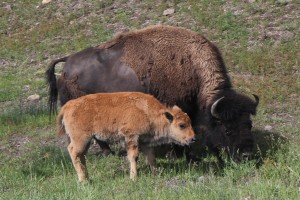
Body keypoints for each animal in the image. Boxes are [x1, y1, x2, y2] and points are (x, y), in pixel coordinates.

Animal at [46, 25, 258, 162]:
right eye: (227, 129)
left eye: (249, 124)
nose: (247, 155)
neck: (193, 69)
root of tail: (67, 62)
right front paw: (186, 156)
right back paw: (107, 154)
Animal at [57, 91, 196, 182]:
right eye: (182, 125)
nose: (193, 138)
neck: (147, 111)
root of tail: (68, 106)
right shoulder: (131, 136)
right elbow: (134, 156)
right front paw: (134, 177)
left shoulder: (145, 142)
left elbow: (151, 157)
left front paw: (155, 174)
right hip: (81, 139)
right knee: (74, 152)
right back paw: (83, 180)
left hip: (86, 141)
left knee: (81, 156)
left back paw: (87, 178)